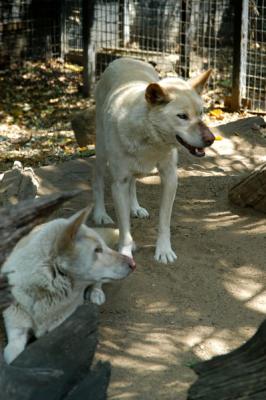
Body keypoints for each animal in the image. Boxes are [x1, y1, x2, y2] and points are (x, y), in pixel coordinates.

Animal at [2, 209, 135, 366]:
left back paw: (96, 293)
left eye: (101, 248)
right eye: (97, 250)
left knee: (97, 283)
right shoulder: (16, 332)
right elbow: (12, 355)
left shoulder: (60, 328)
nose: (133, 264)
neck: (44, 292)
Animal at [92, 56, 215, 262]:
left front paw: (164, 251)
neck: (150, 139)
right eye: (182, 116)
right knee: (98, 181)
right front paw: (126, 253)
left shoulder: (170, 178)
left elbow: (164, 222)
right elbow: (124, 230)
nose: (211, 139)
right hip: (101, 154)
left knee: (133, 183)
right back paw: (100, 213)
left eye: (201, 113)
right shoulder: (119, 183)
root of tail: (124, 58)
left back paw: (135, 208)